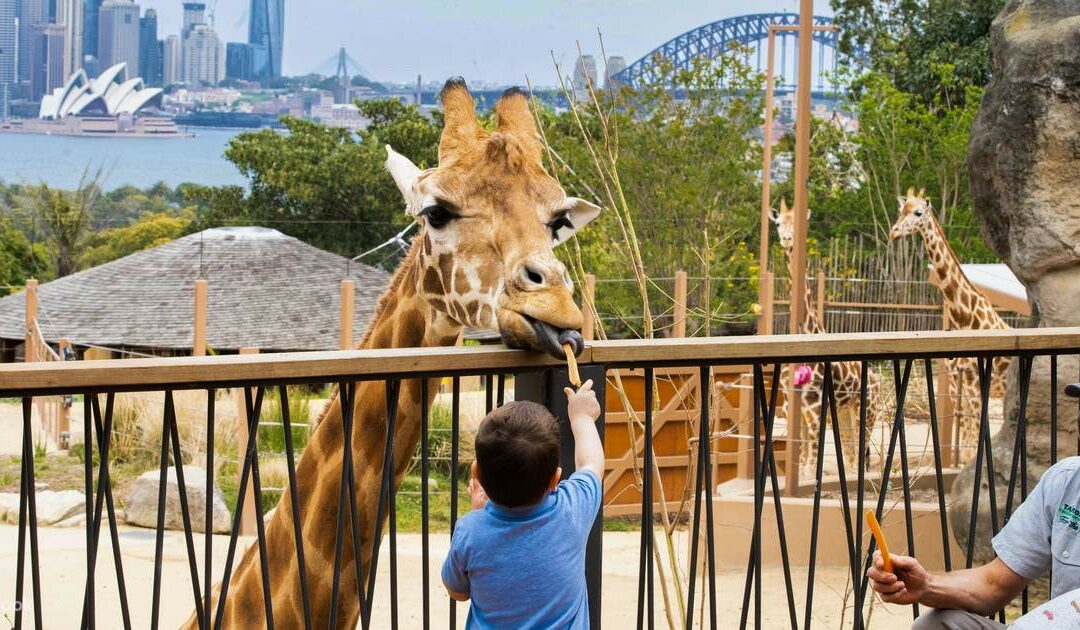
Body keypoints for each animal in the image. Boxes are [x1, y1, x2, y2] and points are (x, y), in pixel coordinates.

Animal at [768, 199, 876, 475]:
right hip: (846, 412)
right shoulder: (793, 406)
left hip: (867, 410)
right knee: (851, 456)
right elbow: (802, 459)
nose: (787, 239)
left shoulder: (816, 408)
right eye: (778, 223)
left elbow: (810, 463)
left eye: (796, 223)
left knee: (861, 456)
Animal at [885, 186, 1010, 462]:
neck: (963, 315)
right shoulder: (956, 388)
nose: (894, 232)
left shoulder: (974, 387)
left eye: (918, 212)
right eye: (901, 210)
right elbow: (966, 447)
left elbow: (973, 446)